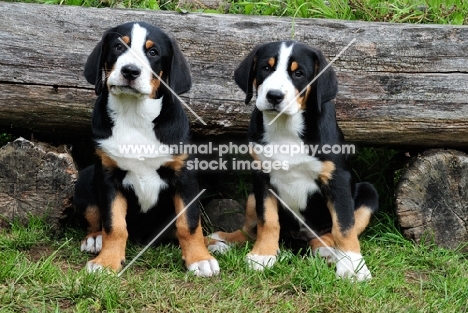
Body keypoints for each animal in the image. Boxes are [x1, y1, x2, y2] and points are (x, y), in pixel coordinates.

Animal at [73, 21, 219, 276]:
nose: (130, 71)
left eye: (153, 52)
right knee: (95, 219)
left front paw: (200, 259)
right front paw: (107, 261)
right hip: (85, 178)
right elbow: (113, 224)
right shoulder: (108, 176)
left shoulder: (185, 177)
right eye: (118, 46)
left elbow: (189, 223)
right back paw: (94, 239)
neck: (134, 115)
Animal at [210, 40, 378, 280]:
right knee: (250, 230)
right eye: (266, 68)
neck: (285, 128)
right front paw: (263, 255)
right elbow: (267, 221)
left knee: (330, 233)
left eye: (298, 73)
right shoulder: (262, 177)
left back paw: (328, 251)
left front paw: (353, 267)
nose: (274, 96)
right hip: (252, 196)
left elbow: (344, 226)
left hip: (368, 193)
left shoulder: (337, 179)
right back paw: (224, 240)